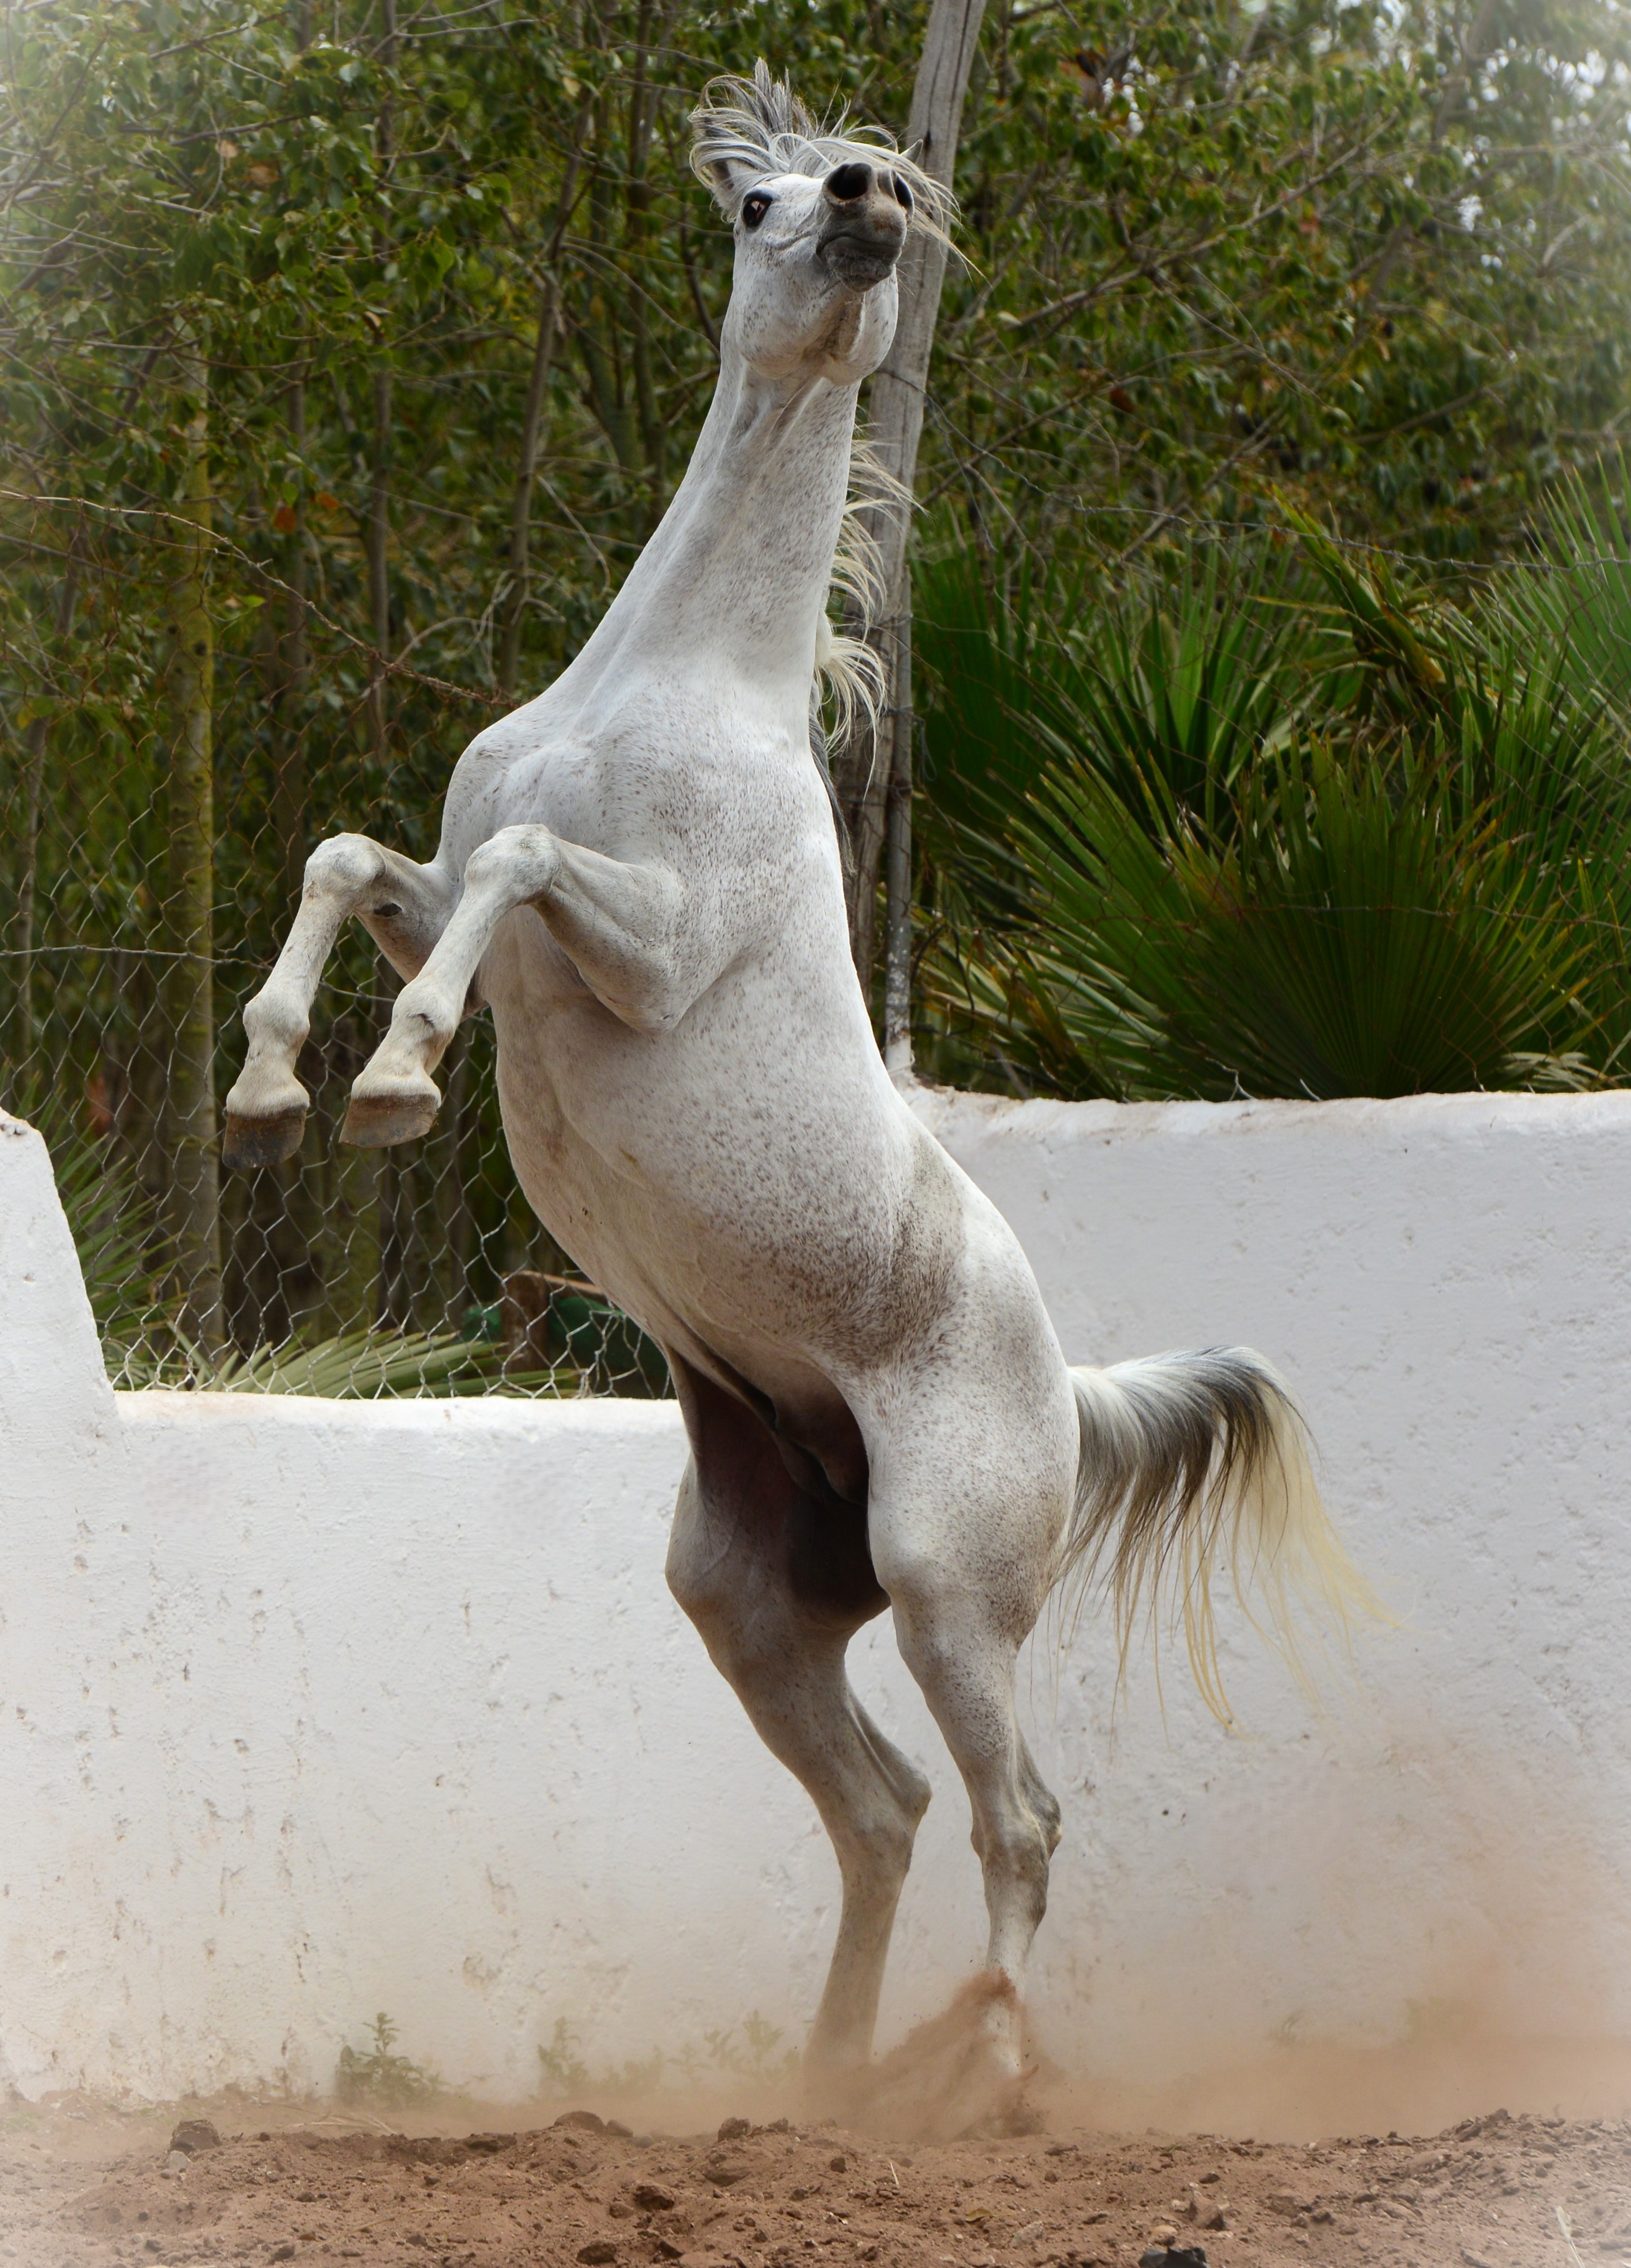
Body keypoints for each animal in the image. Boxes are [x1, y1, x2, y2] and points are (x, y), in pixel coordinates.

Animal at [221, 62, 1364, 2116]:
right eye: (760, 201)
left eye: (877, 179)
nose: (859, 203)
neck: (673, 687)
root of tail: (1069, 1389)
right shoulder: (457, 871)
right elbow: (360, 857)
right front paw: (277, 1085)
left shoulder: (642, 948)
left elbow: (513, 877)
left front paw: (396, 1079)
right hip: (747, 1602)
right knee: (886, 1813)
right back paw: (823, 2082)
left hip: (944, 1585)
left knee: (1018, 1821)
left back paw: (982, 2071)